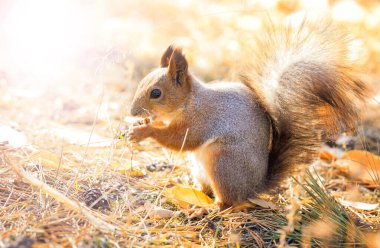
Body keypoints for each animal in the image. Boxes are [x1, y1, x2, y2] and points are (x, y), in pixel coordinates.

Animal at [127, 20, 368, 209]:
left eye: (156, 93)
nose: (132, 111)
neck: (188, 101)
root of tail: (254, 186)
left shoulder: (201, 119)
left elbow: (180, 140)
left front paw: (144, 130)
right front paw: (141, 124)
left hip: (224, 163)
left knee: (228, 201)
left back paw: (208, 208)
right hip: (202, 169)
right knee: (207, 189)